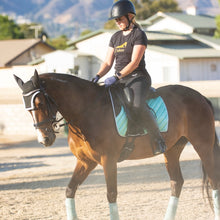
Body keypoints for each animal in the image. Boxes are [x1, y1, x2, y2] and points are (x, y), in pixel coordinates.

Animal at [13, 71, 220, 220]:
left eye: (40, 103)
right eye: (27, 108)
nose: (44, 139)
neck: (87, 110)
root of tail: (200, 96)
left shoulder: (108, 160)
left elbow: (111, 195)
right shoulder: (86, 161)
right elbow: (70, 190)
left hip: (203, 145)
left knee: (213, 180)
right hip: (172, 150)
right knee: (177, 182)